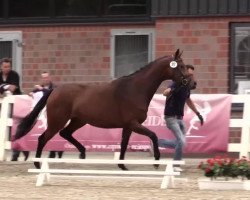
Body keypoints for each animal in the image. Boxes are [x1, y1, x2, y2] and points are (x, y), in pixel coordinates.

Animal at [14, 49, 195, 170]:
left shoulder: (128, 126)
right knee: (43, 138)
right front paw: (156, 161)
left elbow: (124, 144)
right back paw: (38, 164)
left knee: (65, 133)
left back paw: (82, 153)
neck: (135, 89)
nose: (193, 84)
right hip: (57, 121)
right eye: (181, 66)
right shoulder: (134, 123)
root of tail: (54, 90)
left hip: (79, 120)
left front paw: (122, 166)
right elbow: (153, 135)